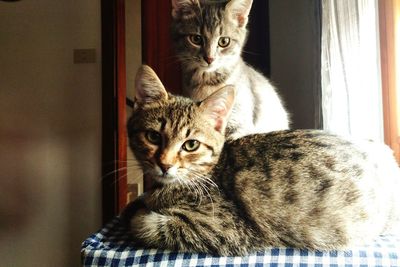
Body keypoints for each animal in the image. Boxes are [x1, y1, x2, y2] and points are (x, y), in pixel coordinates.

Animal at [122, 65, 400, 258]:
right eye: (153, 136)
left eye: (191, 145)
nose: (164, 164)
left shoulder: (228, 230)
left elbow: (146, 224)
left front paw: (140, 212)